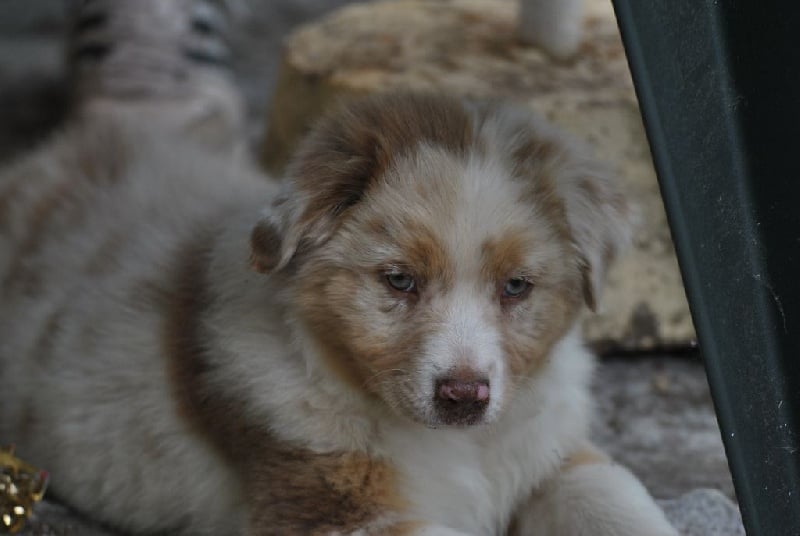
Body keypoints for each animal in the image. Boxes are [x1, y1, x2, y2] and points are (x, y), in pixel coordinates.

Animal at [0, 93, 676, 536]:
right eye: (399, 280)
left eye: (516, 287)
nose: (464, 396)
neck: (459, 446)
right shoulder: (333, 504)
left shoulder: (550, 455)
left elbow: (614, 499)